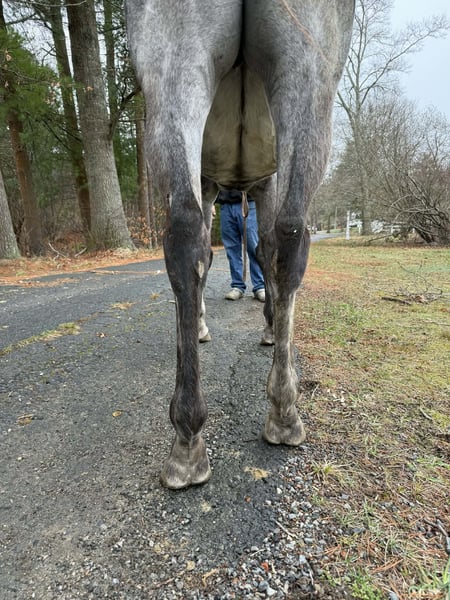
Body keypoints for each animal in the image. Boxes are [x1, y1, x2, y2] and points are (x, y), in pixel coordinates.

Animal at [125, 0, 355, 489]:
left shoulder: (226, 183)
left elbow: (243, 252)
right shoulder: (261, 182)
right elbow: (264, 252)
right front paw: (265, 324)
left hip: (182, 62)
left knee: (188, 232)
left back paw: (191, 437)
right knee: (283, 238)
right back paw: (279, 413)